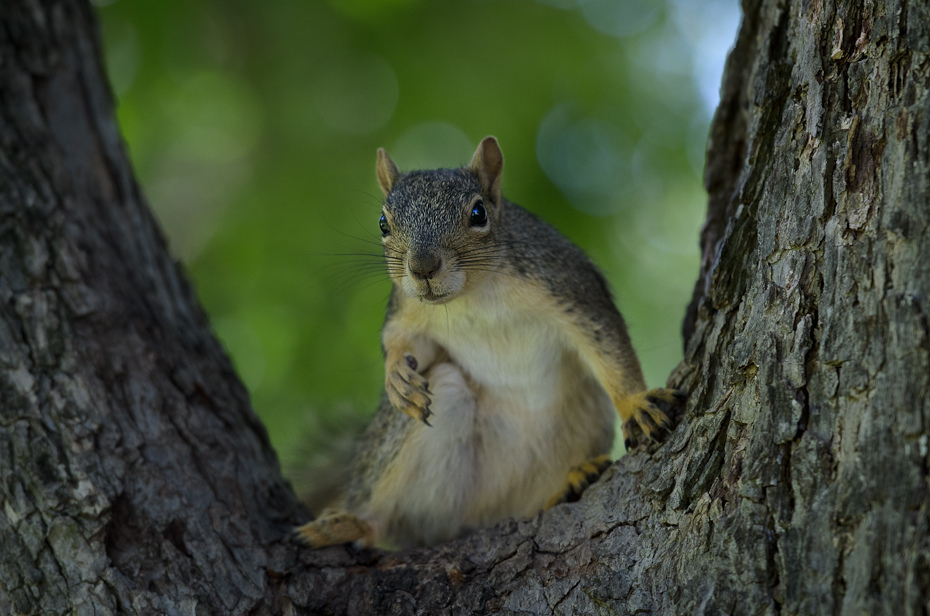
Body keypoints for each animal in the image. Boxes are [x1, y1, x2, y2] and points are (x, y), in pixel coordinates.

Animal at [294, 136, 684, 548]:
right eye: (383, 223)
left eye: (479, 213)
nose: (423, 268)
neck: (471, 295)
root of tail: (488, 513)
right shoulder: (406, 311)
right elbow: (404, 343)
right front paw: (396, 376)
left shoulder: (568, 285)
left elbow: (607, 345)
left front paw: (637, 404)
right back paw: (354, 522)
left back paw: (573, 480)